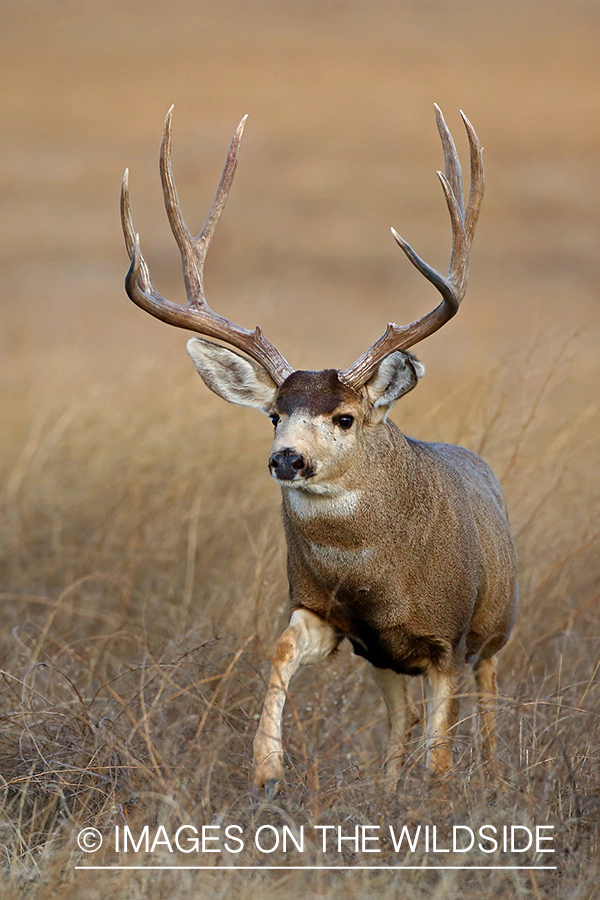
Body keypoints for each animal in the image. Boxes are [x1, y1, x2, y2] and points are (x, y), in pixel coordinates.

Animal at [120, 107, 516, 796]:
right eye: (275, 415)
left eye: (345, 417)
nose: (287, 459)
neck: (374, 576)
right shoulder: (324, 612)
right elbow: (279, 652)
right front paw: (266, 767)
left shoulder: (447, 636)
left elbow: (443, 751)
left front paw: (437, 800)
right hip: (386, 660)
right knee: (401, 720)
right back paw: (387, 788)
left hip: (494, 625)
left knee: (486, 707)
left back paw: (490, 778)